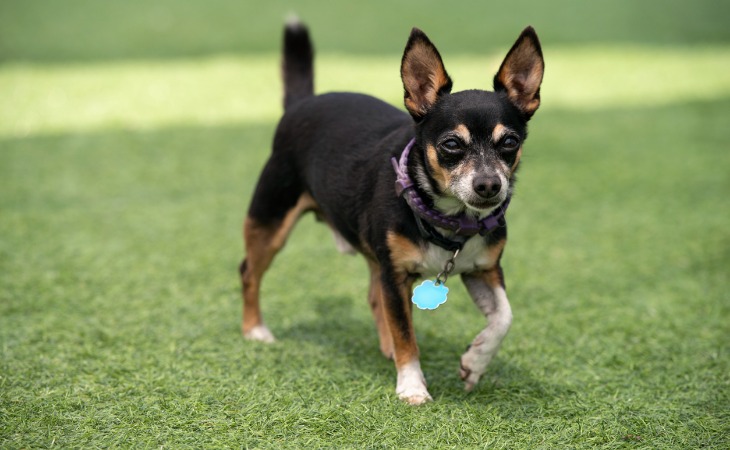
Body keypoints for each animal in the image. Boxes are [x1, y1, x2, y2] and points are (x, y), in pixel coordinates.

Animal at [239, 20, 540, 404]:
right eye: (451, 145)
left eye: (510, 142)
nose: (489, 185)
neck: (449, 220)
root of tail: (303, 102)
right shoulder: (396, 277)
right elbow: (405, 333)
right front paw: (412, 385)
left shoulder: (484, 269)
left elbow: (504, 317)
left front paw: (475, 361)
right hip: (270, 219)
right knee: (249, 271)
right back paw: (255, 330)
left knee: (372, 296)